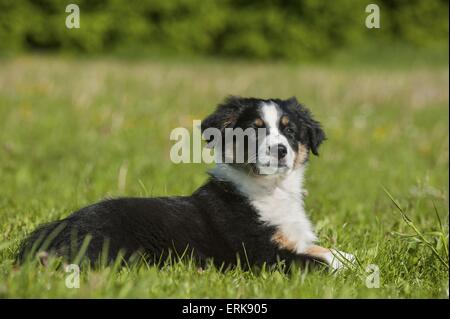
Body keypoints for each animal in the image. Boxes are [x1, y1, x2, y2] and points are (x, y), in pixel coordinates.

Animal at [16, 96, 356, 272]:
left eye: (290, 131)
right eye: (254, 131)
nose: (280, 150)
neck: (270, 190)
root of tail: (52, 231)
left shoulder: (291, 240)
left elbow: (324, 250)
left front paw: (349, 257)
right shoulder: (260, 255)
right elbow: (317, 261)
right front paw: (351, 267)